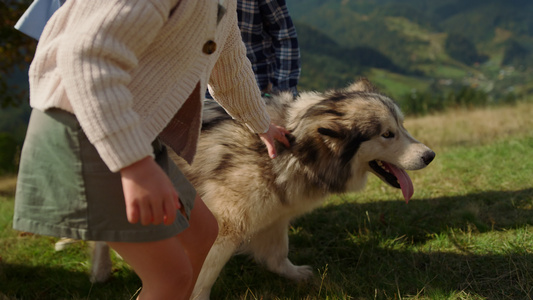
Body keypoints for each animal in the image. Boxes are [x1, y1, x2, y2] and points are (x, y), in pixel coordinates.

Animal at [89, 78, 434, 298]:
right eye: (387, 134)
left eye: (402, 127)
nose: (429, 156)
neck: (295, 150)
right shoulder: (225, 225)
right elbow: (203, 276)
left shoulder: (276, 215)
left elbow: (277, 256)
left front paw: (295, 275)